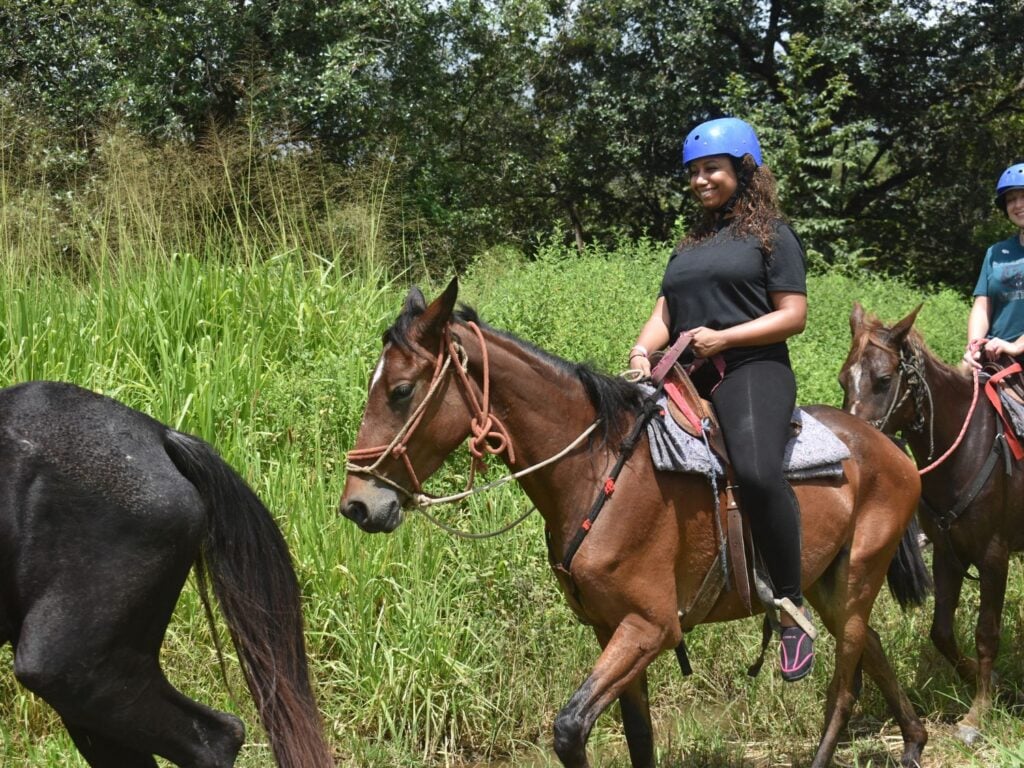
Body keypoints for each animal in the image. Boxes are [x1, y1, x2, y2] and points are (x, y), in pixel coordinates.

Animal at [340, 279, 931, 768]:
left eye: (400, 391)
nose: (357, 506)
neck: (597, 469)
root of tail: (888, 447)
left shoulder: (651, 626)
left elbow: (570, 728)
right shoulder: (612, 628)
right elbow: (638, 735)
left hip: (855, 579)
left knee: (844, 688)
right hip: (833, 586)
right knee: (872, 645)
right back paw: (914, 741)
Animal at [840, 301, 1024, 743]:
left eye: (883, 380)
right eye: (843, 378)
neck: (966, 447)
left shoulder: (993, 555)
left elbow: (986, 634)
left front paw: (977, 715)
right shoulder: (947, 552)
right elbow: (941, 632)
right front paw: (985, 682)